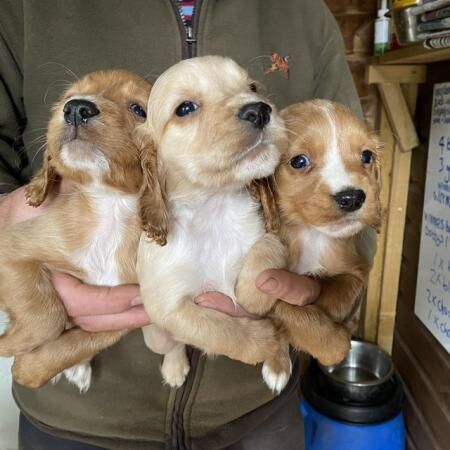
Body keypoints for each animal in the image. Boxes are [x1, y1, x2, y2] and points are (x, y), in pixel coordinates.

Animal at [138, 56, 292, 394]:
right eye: (185, 108)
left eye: (252, 87)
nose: (259, 110)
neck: (214, 207)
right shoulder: (166, 305)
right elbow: (213, 328)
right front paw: (262, 340)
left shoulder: (274, 235)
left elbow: (266, 252)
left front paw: (252, 293)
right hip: (154, 336)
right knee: (172, 345)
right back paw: (175, 367)